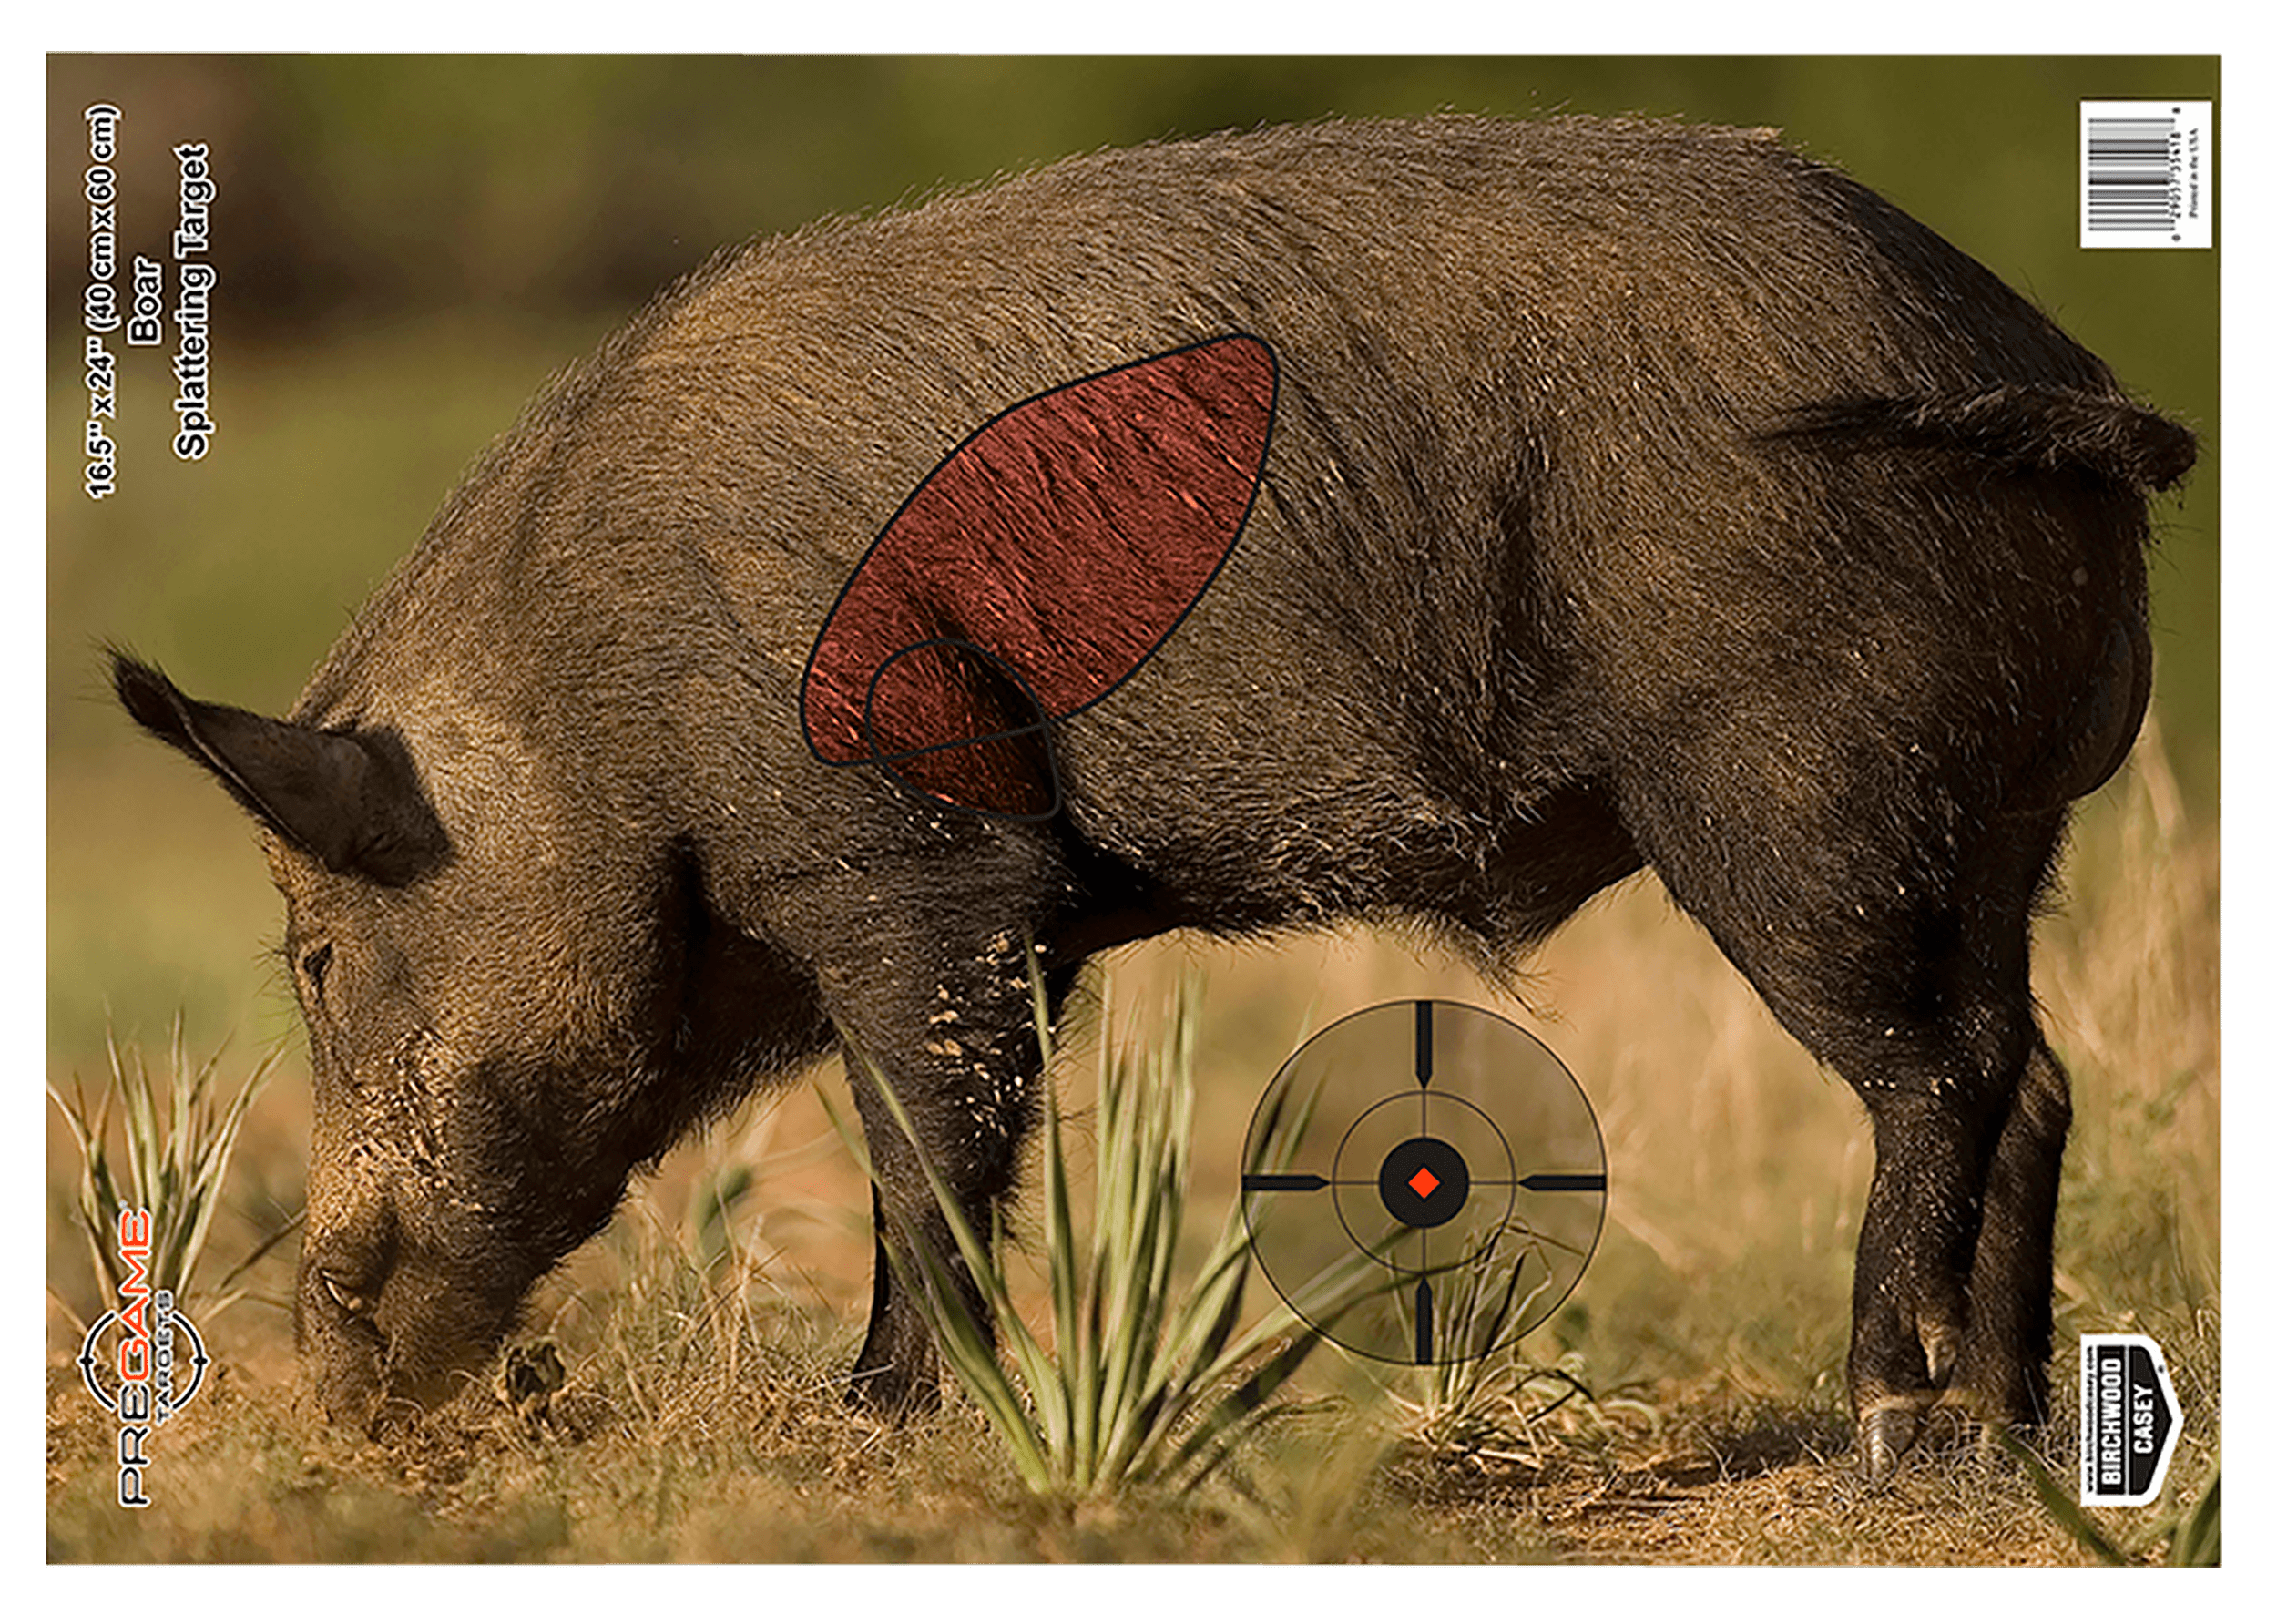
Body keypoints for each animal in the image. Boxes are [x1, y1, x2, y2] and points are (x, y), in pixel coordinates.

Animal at [111, 114, 2195, 1478]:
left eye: (317, 955)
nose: (323, 1370)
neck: (595, 719)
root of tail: (2050, 366)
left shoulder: (920, 864)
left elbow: (923, 1153)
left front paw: (867, 1427)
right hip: (1999, 834)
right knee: (2034, 1069)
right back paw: (2011, 1430)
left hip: (1798, 799)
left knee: (1943, 1073)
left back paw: (1887, 1418)